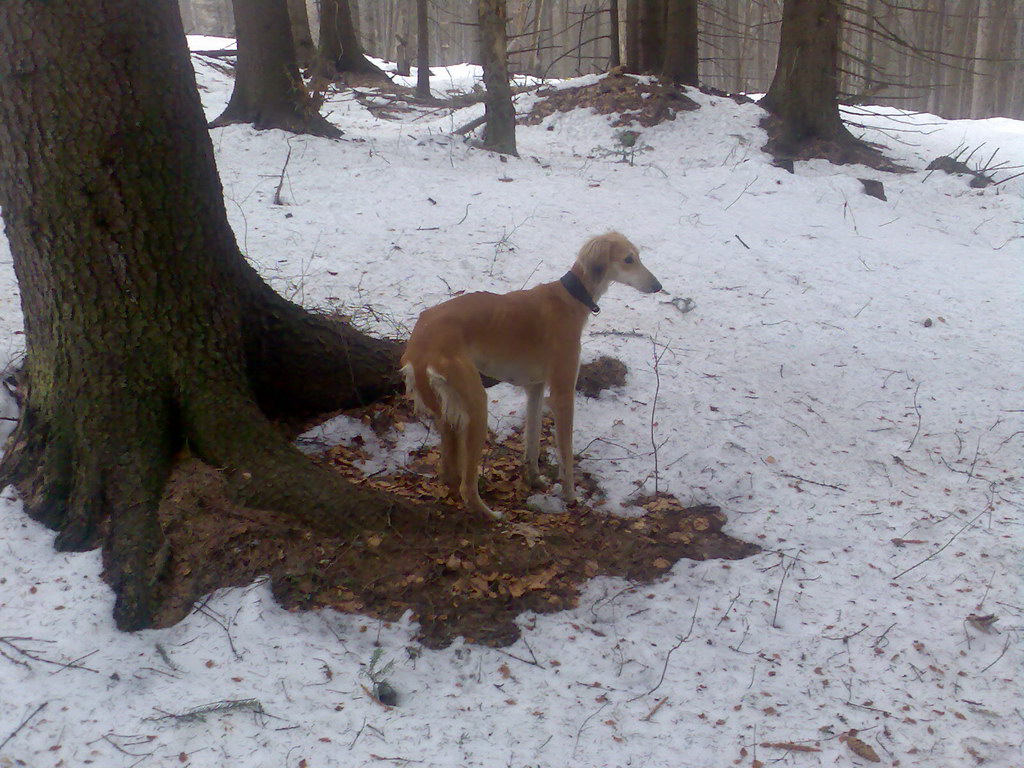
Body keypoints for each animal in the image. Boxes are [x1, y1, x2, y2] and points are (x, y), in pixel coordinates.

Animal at [399, 233, 663, 524]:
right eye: (628, 259)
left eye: (637, 256)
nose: (658, 286)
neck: (571, 297)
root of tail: (419, 343)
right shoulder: (562, 394)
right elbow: (565, 452)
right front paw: (570, 496)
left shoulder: (535, 388)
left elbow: (533, 440)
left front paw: (534, 479)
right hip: (476, 405)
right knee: (467, 486)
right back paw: (491, 514)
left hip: (448, 410)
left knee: (448, 471)